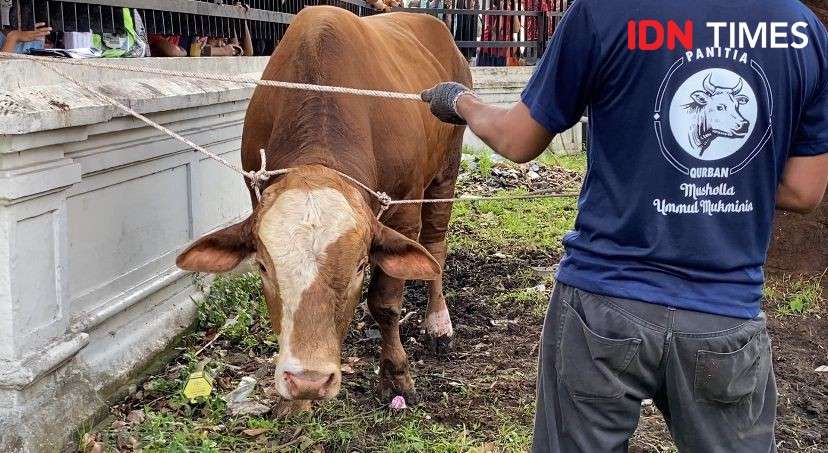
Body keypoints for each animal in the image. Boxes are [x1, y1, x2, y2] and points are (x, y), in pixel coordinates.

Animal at [175, 6, 472, 410]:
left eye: (359, 265)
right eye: (263, 267)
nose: (309, 380)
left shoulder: (403, 211)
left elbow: (386, 302)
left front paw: (396, 373)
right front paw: (294, 402)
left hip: (447, 168)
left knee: (436, 247)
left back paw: (438, 322)